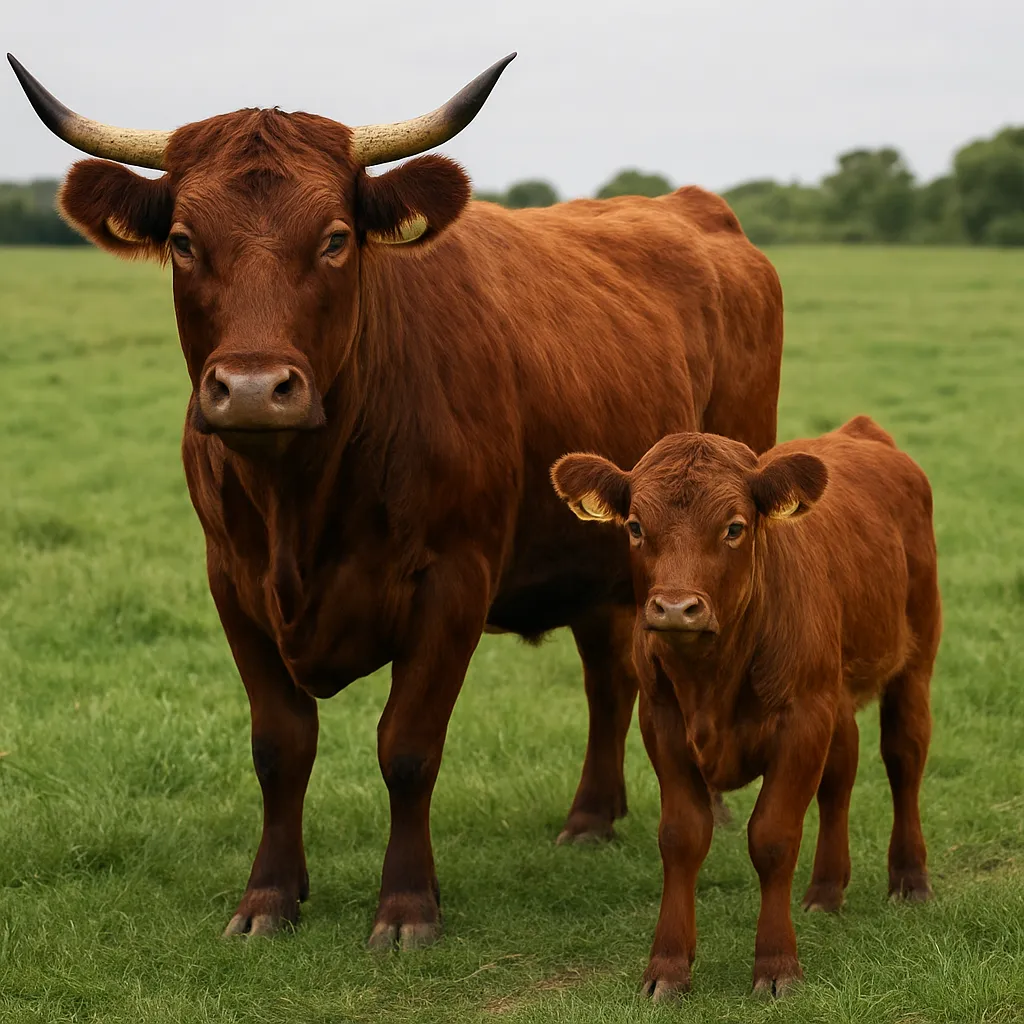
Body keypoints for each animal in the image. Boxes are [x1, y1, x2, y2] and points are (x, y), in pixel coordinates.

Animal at [10, 52, 784, 949]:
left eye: (335, 239)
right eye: (183, 241)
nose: (252, 390)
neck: (299, 497)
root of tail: (695, 209)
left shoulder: (453, 581)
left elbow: (408, 747)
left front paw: (408, 906)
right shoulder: (231, 583)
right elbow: (279, 746)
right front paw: (270, 896)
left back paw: (706, 806)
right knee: (608, 675)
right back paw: (592, 818)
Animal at [552, 416, 940, 997]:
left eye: (734, 527)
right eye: (636, 526)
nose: (675, 608)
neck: (711, 677)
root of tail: (861, 432)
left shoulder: (801, 722)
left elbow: (774, 837)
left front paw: (777, 964)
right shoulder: (663, 723)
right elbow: (681, 836)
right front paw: (668, 965)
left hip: (914, 659)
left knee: (904, 758)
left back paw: (910, 878)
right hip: (835, 693)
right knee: (840, 776)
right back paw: (826, 889)